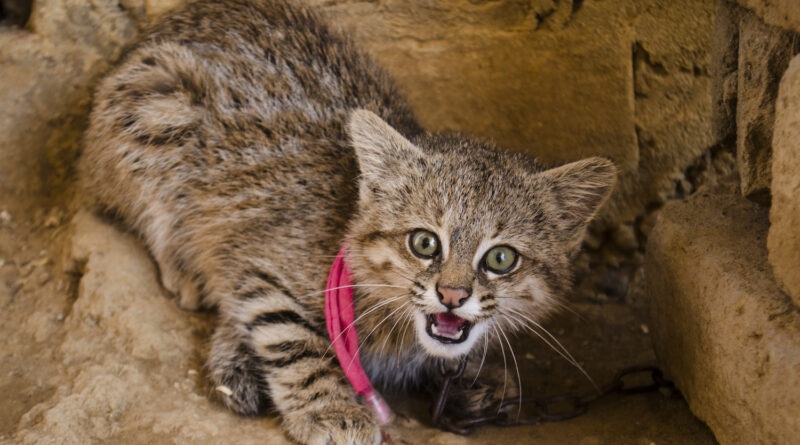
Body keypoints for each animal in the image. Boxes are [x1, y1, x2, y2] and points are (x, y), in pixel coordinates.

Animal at [78, 0, 616, 440]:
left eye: (501, 259)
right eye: (424, 243)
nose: (452, 295)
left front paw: (471, 379)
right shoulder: (259, 266)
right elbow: (293, 340)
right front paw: (328, 408)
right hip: (156, 102)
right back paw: (183, 270)